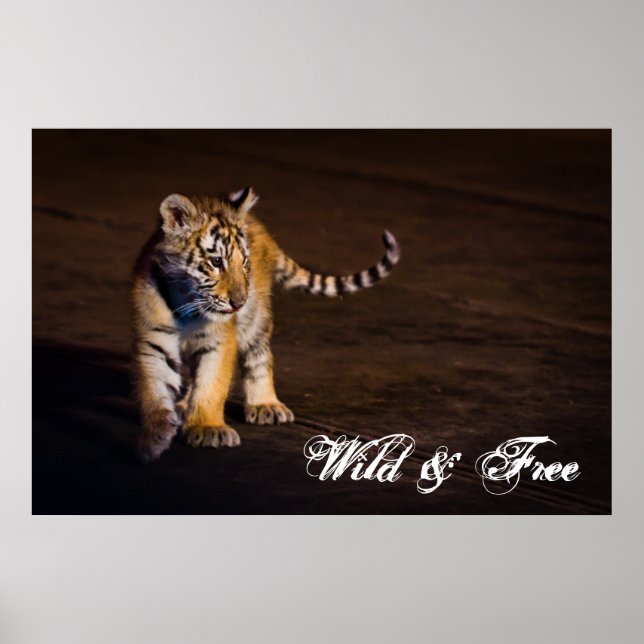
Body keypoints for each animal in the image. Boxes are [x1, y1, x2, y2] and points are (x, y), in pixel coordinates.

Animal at [132, 187, 400, 462]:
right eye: (216, 262)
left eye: (244, 263)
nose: (238, 303)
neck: (187, 301)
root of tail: (260, 226)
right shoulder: (154, 339)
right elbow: (155, 386)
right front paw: (156, 434)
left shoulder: (220, 339)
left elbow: (211, 384)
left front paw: (207, 428)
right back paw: (185, 405)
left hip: (255, 318)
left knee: (259, 356)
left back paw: (264, 405)